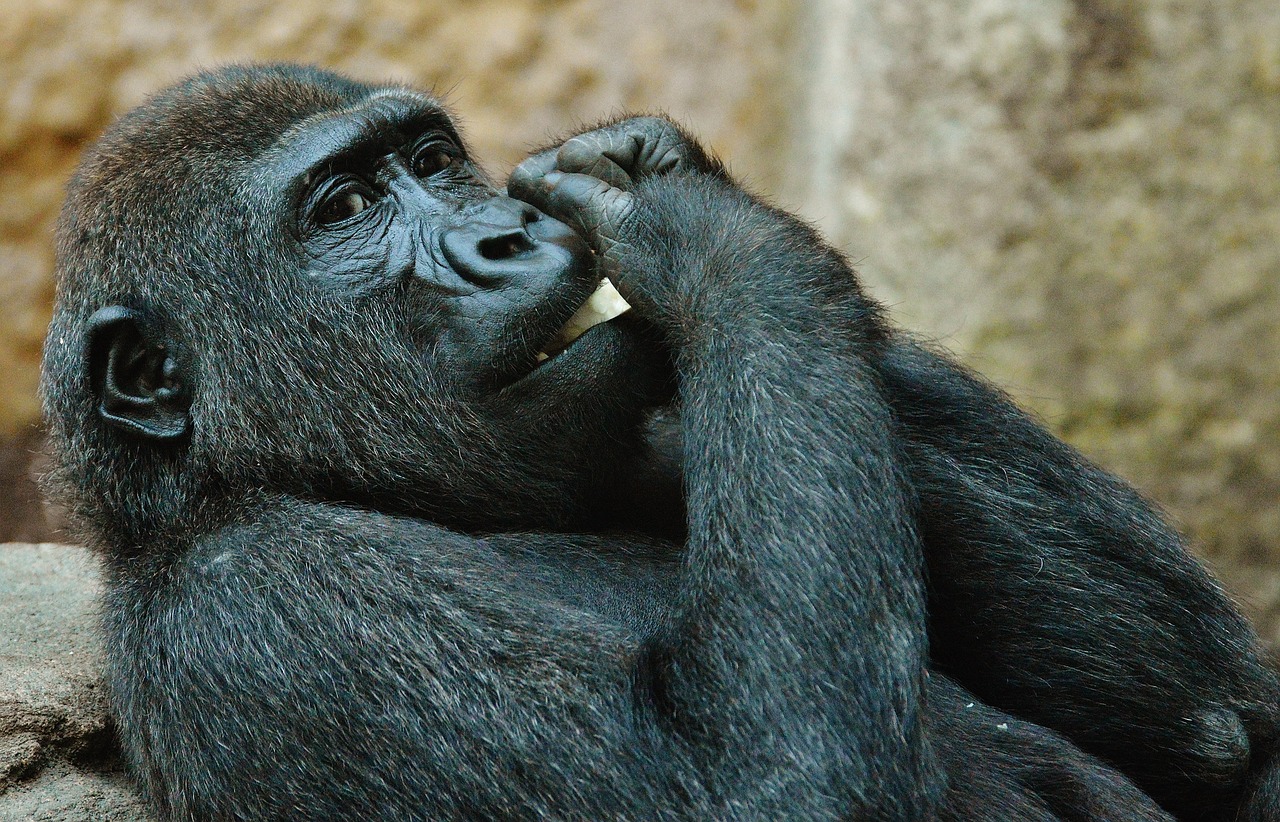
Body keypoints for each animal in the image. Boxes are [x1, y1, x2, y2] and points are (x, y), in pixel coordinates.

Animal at [40, 65, 1280, 819]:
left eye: (434, 162)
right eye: (344, 209)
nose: (504, 235)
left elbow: (1219, 728)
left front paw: (659, 174)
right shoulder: (243, 601)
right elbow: (768, 787)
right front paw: (704, 236)